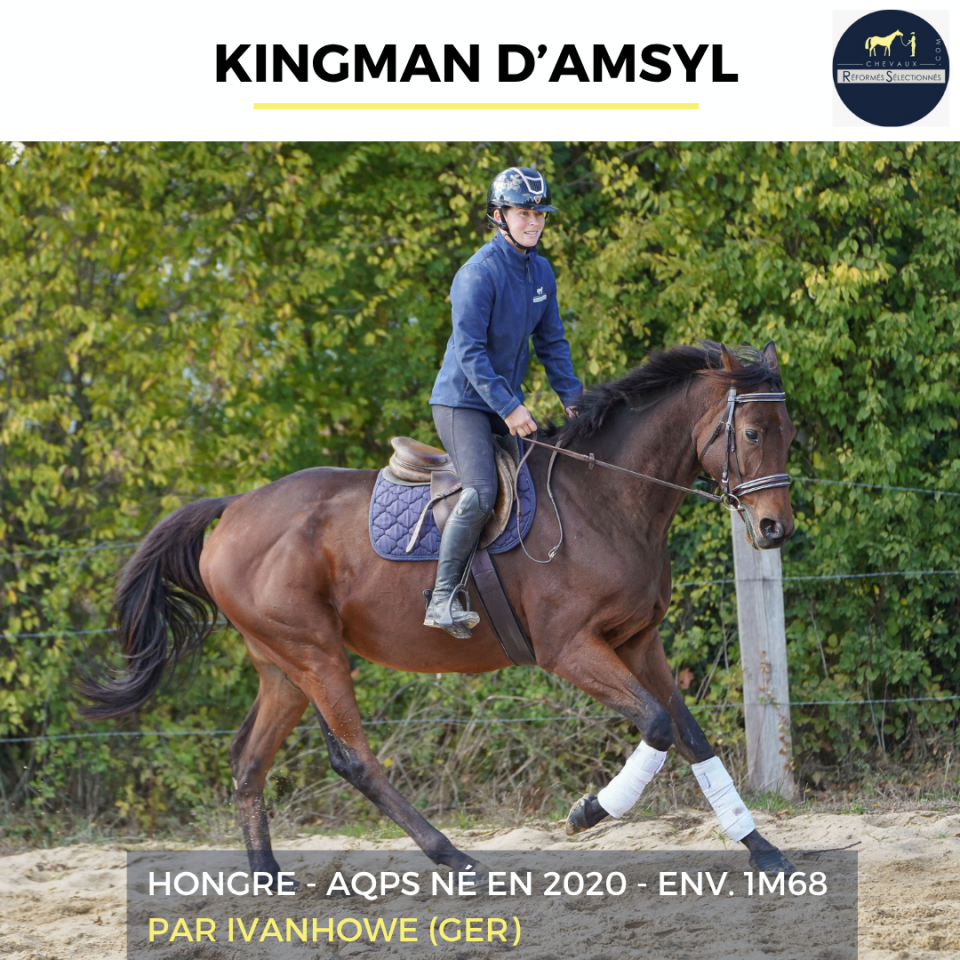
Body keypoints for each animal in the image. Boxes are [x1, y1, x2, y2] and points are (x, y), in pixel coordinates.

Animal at [82, 340, 797, 880]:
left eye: (789, 435)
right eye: (752, 432)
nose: (775, 530)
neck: (606, 499)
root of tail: (233, 508)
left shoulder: (637, 642)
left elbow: (689, 734)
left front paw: (760, 847)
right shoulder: (571, 650)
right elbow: (655, 724)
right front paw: (588, 811)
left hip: (281, 665)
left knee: (247, 759)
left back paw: (267, 877)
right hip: (316, 654)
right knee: (353, 758)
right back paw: (453, 856)